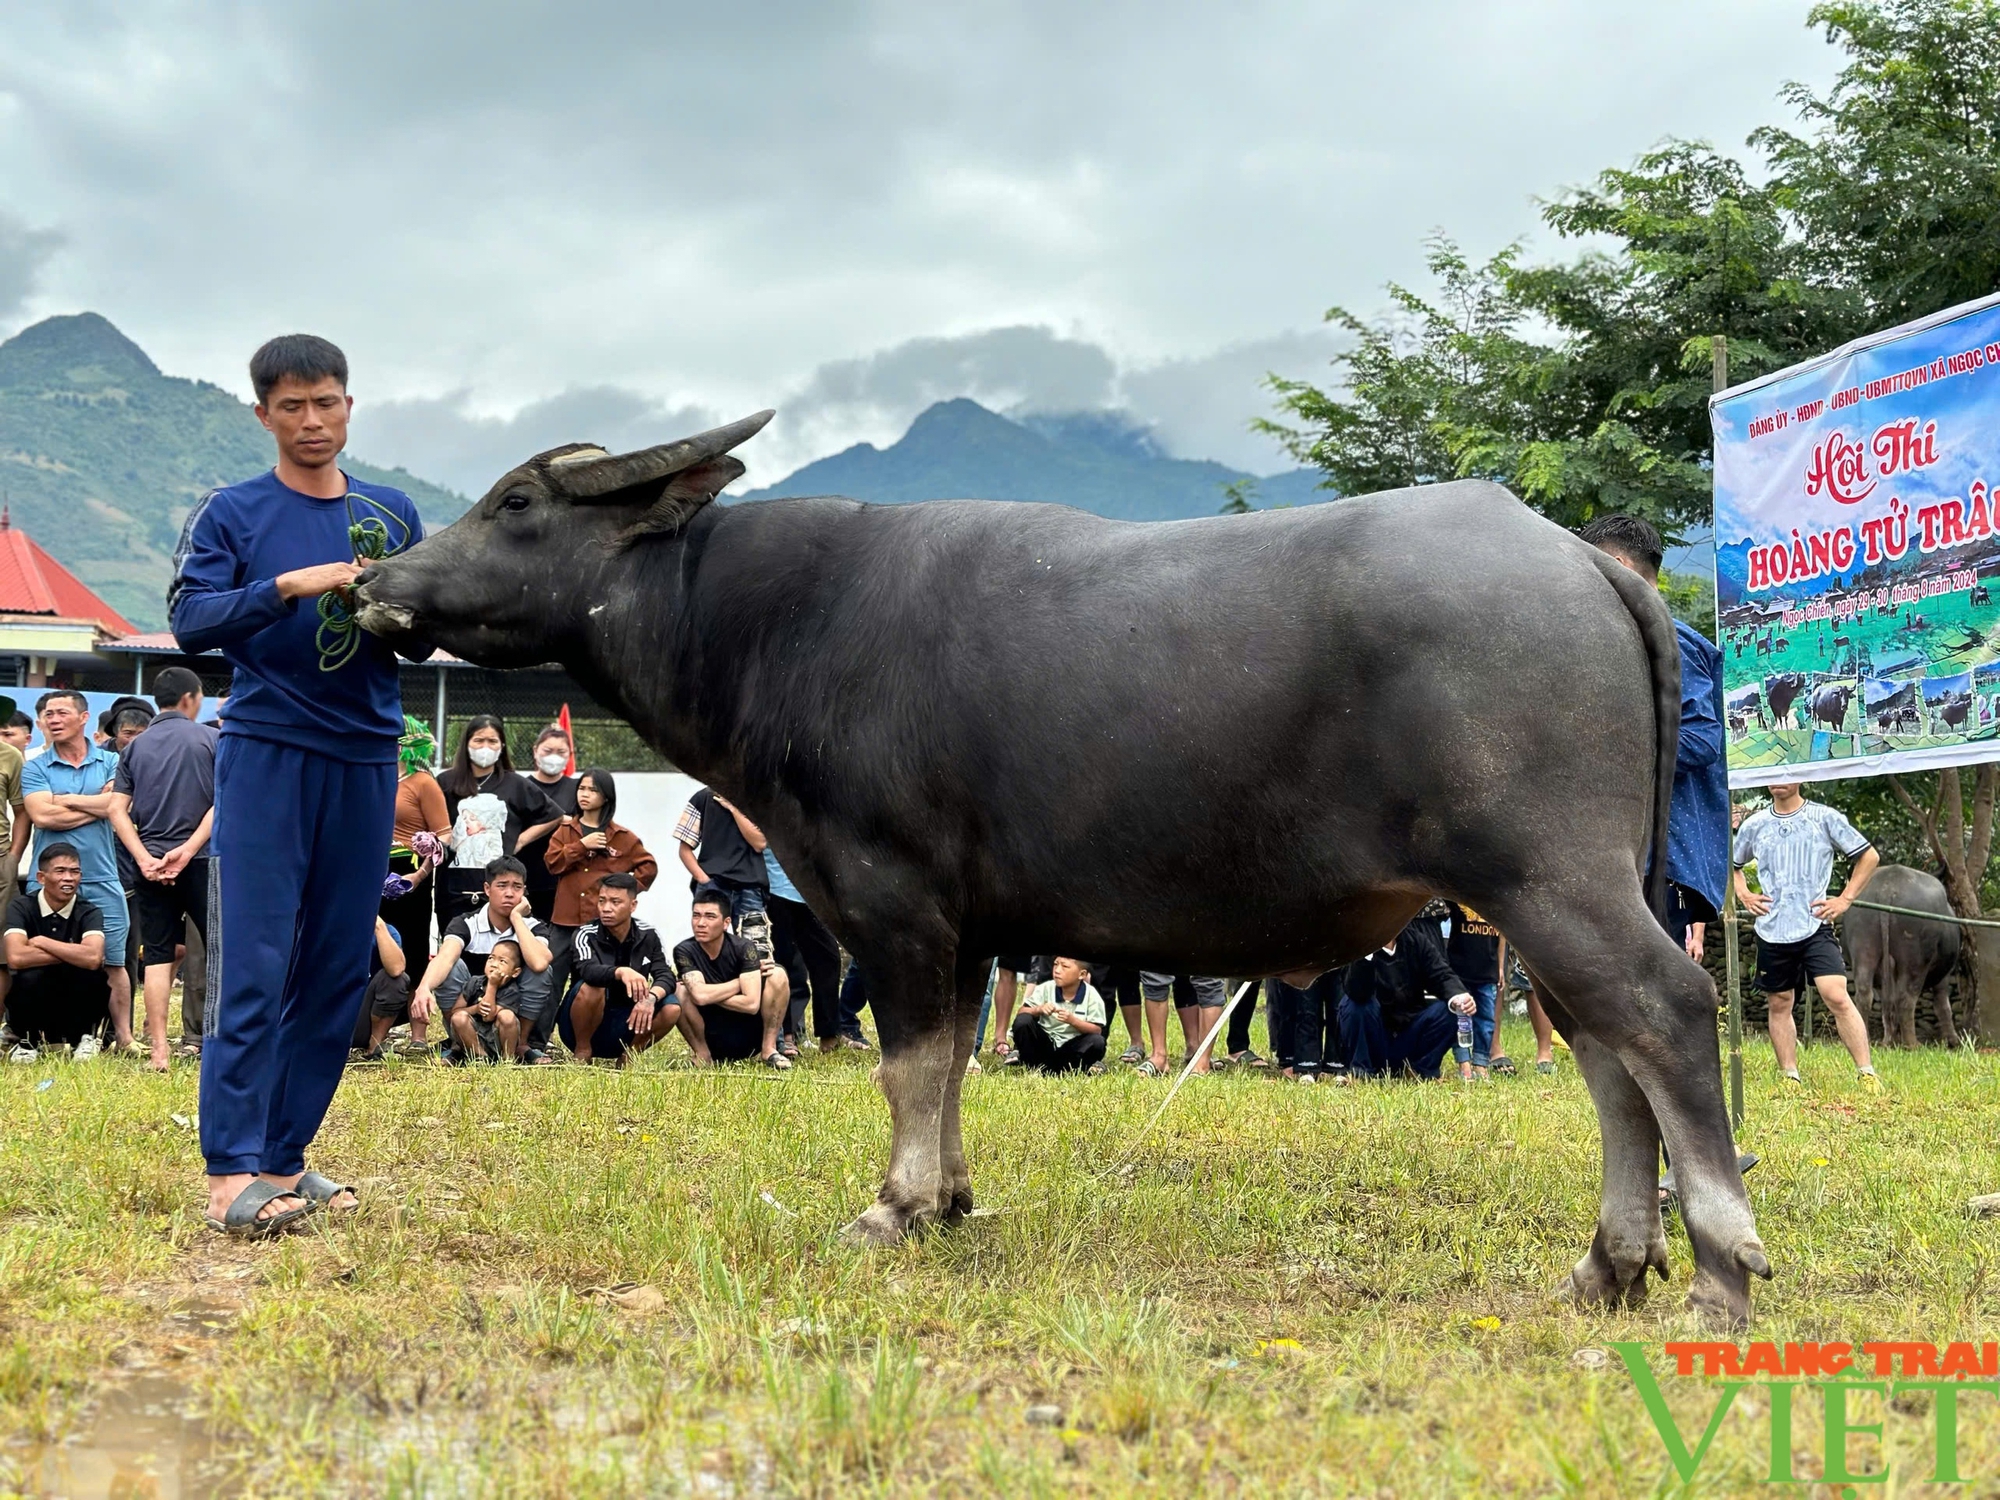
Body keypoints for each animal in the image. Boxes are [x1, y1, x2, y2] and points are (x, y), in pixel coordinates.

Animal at [348, 418, 1768, 1320]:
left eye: (516, 506)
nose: (377, 581)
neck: (771, 625)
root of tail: (1577, 561)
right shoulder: (969, 928)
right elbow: (947, 1068)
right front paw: (952, 1198)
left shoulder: (891, 902)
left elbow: (906, 1061)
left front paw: (893, 1209)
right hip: (1542, 895)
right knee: (1607, 1056)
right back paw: (1607, 1266)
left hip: (1552, 880)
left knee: (1663, 1016)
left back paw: (1715, 1269)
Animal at [1840, 864, 1952, 1048]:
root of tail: (1887, 886)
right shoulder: (1944, 974)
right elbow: (1943, 1004)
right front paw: (1952, 1040)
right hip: (1915, 959)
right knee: (1906, 999)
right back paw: (1912, 1044)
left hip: (1863, 945)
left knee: (1865, 994)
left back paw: (1873, 1039)